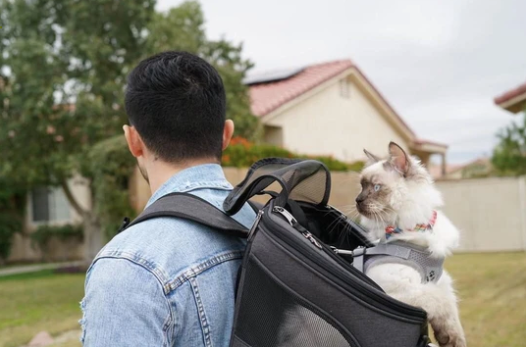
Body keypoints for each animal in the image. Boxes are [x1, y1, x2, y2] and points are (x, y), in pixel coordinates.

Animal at [356, 141, 468, 347]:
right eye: (361, 187)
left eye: (376, 187)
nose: (357, 200)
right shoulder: (401, 295)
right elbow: (443, 302)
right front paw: (447, 339)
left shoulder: (441, 282)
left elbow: (453, 318)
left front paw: (452, 340)